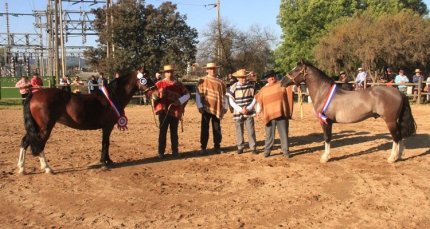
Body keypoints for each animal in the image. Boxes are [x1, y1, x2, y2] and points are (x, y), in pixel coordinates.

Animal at [18, 71, 156, 174]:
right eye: (146, 78)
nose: (155, 93)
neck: (112, 97)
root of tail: (34, 95)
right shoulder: (107, 126)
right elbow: (105, 143)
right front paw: (104, 163)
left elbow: (107, 143)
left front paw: (109, 160)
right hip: (44, 127)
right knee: (39, 144)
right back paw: (47, 168)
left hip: (36, 127)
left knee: (25, 141)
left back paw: (21, 168)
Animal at [280, 61, 414, 163]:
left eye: (295, 70)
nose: (282, 81)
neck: (323, 93)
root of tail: (399, 92)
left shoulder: (326, 121)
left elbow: (327, 138)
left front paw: (325, 158)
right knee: (399, 136)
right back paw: (400, 155)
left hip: (390, 121)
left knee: (396, 137)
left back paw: (392, 158)